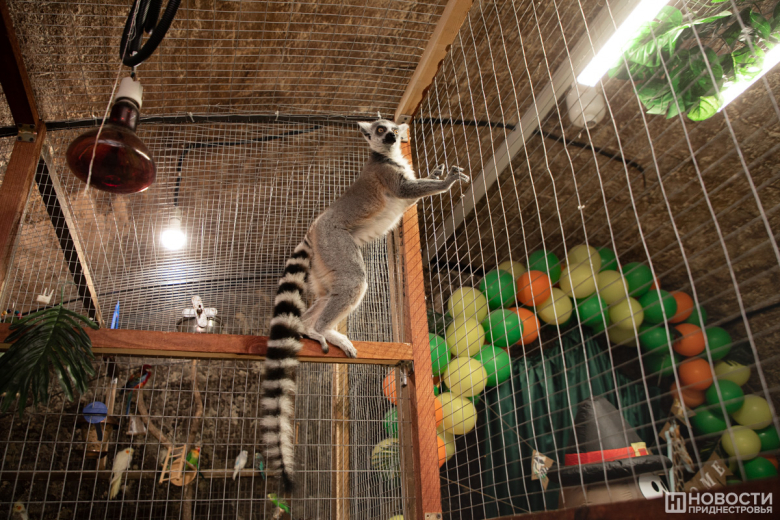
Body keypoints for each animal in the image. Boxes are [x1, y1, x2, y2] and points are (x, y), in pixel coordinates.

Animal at [260, 119, 469, 491]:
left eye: (392, 129)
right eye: (380, 130)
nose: (393, 135)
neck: (387, 157)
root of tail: (316, 226)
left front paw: (436, 171)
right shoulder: (388, 177)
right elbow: (408, 192)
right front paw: (445, 180)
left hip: (323, 263)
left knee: (328, 294)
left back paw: (308, 328)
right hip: (337, 243)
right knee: (354, 281)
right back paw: (323, 330)